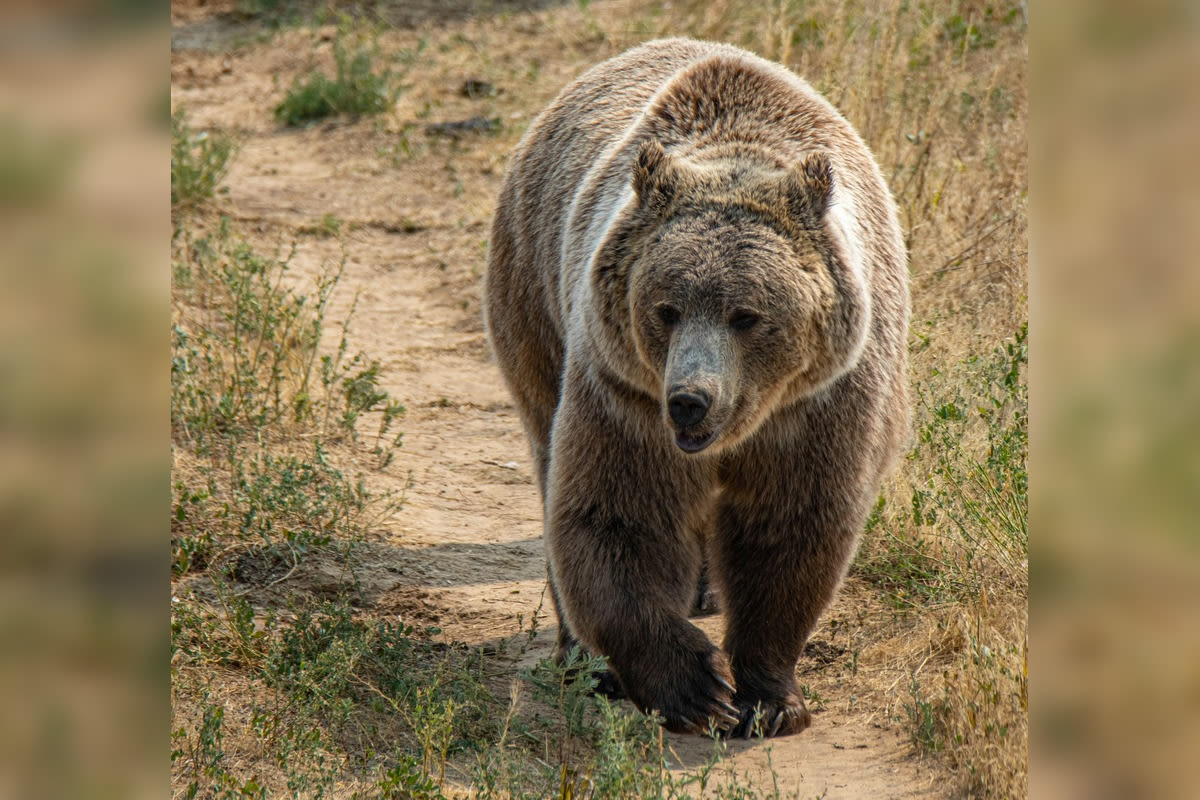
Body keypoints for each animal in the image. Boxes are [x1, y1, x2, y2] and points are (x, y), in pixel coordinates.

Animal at [482, 38, 902, 738]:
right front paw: (695, 687)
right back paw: (585, 662)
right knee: (547, 453)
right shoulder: (624, 393)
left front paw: (769, 697)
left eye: (747, 315)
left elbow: (790, 527)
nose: (689, 400)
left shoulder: (823, 402)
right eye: (666, 308)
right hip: (534, 298)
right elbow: (617, 516)